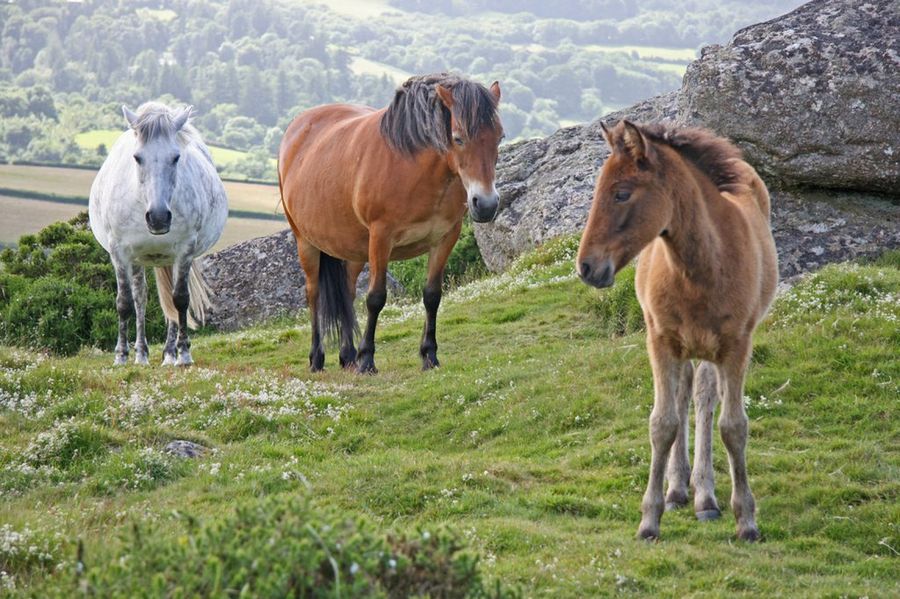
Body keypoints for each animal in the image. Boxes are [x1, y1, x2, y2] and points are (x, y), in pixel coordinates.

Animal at [89, 102, 228, 366]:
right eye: (137, 157)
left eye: (175, 157)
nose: (159, 217)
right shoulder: (119, 252)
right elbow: (124, 303)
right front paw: (121, 356)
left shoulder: (184, 250)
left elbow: (180, 299)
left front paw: (183, 353)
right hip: (138, 259)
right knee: (140, 298)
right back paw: (141, 354)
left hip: (169, 258)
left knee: (170, 300)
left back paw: (170, 354)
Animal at [278, 73, 504, 374]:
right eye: (458, 138)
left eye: (500, 137)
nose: (486, 204)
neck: (413, 168)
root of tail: (297, 128)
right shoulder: (381, 238)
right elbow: (376, 298)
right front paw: (367, 360)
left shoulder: (445, 238)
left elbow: (432, 295)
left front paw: (429, 355)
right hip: (306, 241)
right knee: (313, 294)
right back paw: (318, 358)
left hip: (353, 249)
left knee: (347, 292)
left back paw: (347, 356)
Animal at [576, 121, 777, 542]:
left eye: (622, 193)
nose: (586, 267)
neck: (704, 266)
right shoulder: (661, 342)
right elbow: (663, 423)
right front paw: (650, 519)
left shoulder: (736, 346)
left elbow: (733, 426)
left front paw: (746, 520)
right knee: (685, 392)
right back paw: (678, 490)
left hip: (711, 350)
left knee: (702, 396)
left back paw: (705, 496)